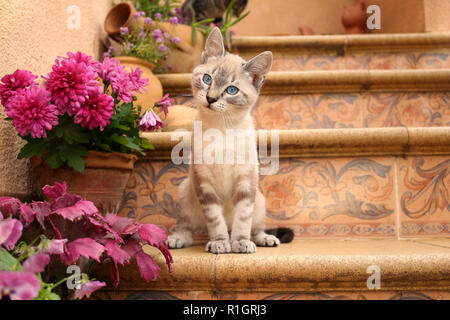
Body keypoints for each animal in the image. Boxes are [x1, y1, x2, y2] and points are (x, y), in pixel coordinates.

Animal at [167, 27, 294, 254]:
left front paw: (240, 242)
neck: (221, 129)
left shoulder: (246, 182)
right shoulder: (205, 183)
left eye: (231, 90)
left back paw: (264, 239)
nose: (210, 98)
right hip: (185, 192)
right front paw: (219, 243)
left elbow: (243, 219)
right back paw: (178, 239)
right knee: (186, 227)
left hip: (259, 199)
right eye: (207, 79)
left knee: (256, 228)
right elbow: (215, 220)